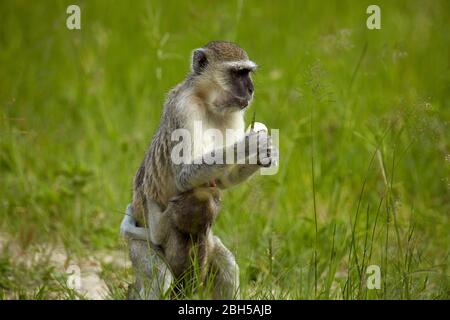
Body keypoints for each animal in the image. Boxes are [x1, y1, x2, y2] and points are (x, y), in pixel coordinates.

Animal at [123, 41, 278, 298]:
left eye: (247, 73)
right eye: (238, 73)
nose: (251, 89)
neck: (207, 102)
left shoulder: (235, 115)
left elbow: (223, 179)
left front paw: (267, 153)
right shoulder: (184, 108)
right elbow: (184, 176)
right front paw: (251, 143)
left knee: (227, 266)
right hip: (139, 247)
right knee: (160, 279)